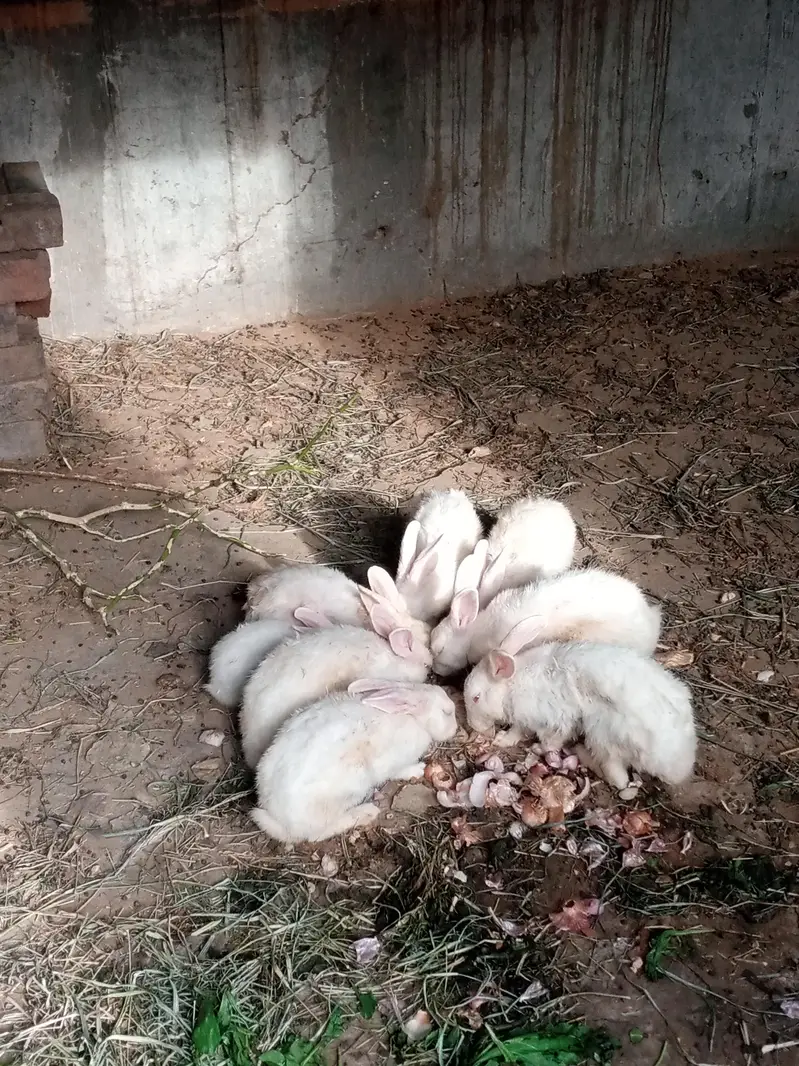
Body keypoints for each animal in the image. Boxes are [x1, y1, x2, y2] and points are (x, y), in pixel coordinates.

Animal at [251, 680, 458, 842]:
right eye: (447, 712)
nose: (455, 728)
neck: (415, 719)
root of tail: (278, 817)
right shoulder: (392, 763)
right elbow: (400, 771)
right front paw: (417, 769)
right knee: (316, 835)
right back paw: (367, 812)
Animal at [463, 639, 696, 790]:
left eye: (476, 698)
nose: (473, 726)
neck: (512, 684)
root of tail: (676, 765)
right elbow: (518, 731)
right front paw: (503, 740)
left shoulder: (555, 720)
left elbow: (549, 742)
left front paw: (536, 748)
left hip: (602, 734)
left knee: (618, 780)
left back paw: (581, 753)